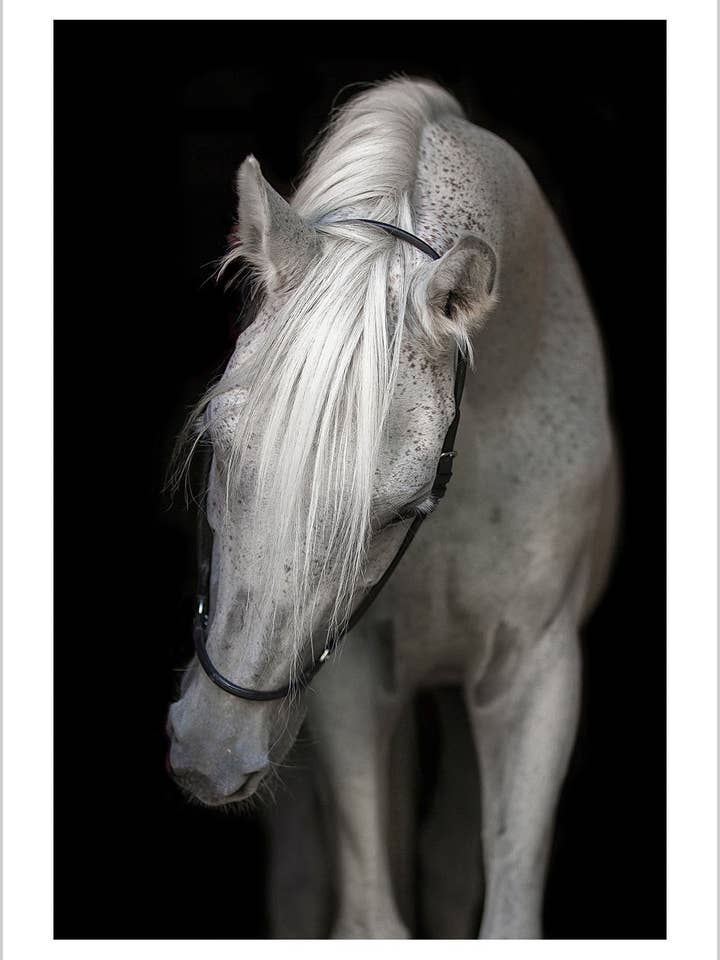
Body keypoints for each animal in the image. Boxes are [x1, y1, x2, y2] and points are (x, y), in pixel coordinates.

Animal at [166, 77, 618, 939]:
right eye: (216, 444)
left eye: (405, 505)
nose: (212, 750)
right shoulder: (350, 675)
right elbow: (371, 914)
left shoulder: (536, 674)